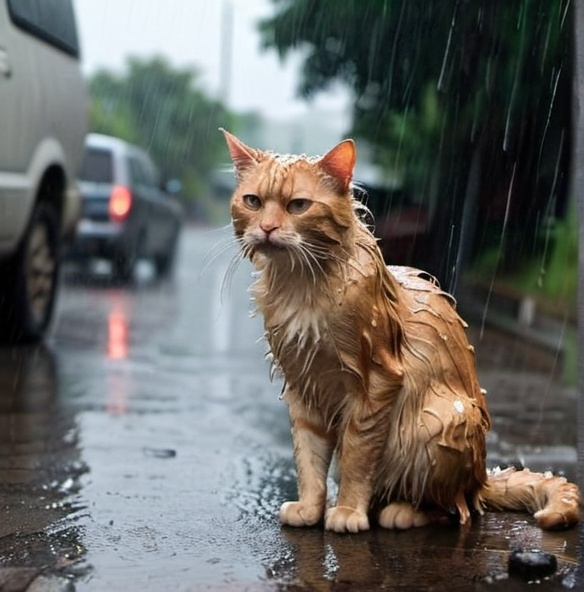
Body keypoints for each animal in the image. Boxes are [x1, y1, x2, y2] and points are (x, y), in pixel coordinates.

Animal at [222, 130, 580, 532]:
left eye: (298, 205)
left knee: (453, 508)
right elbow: (309, 458)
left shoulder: (377, 381)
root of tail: (481, 478)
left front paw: (348, 510)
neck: (302, 287)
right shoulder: (303, 385)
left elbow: (358, 455)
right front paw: (311, 508)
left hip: (439, 422)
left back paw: (400, 511)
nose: (267, 228)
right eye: (253, 202)